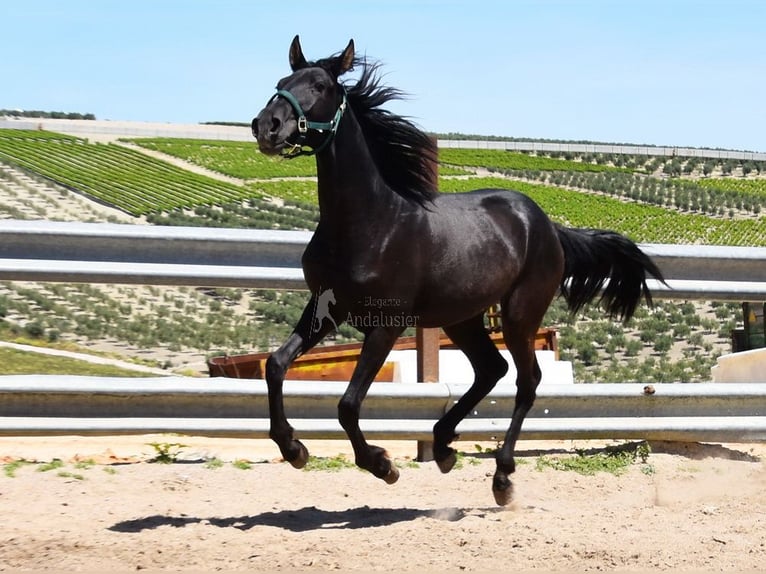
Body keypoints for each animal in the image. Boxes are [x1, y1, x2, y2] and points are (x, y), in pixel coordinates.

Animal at [254, 36, 664, 506]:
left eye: (320, 86)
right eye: (281, 83)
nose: (266, 126)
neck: (368, 223)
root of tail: (546, 224)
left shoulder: (387, 323)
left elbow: (348, 404)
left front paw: (382, 465)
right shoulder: (326, 309)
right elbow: (276, 366)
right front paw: (294, 448)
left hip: (520, 314)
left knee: (527, 380)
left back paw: (501, 477)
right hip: (462, 317)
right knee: (491, 370)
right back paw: (444, 445)